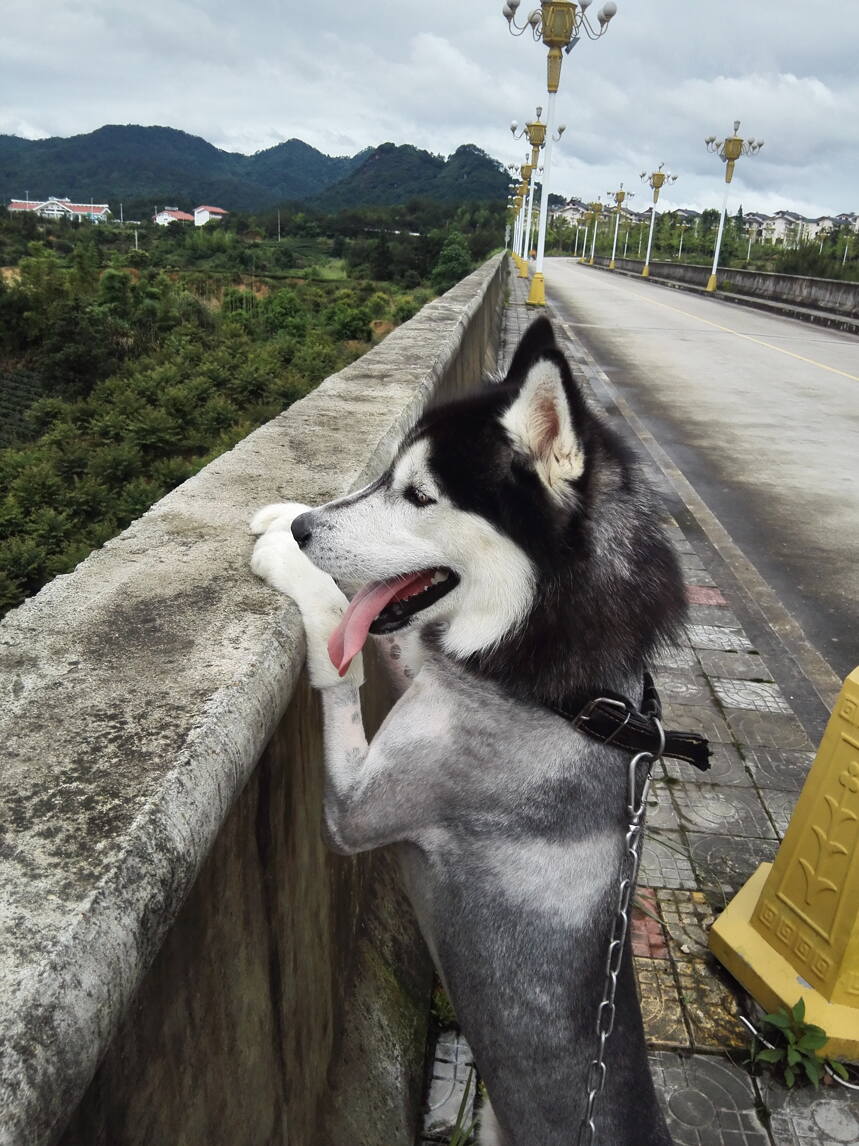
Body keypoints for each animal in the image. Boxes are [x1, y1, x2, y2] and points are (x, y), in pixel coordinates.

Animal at [251, 316, 682, 1146]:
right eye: (388, 477)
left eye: (419, 495)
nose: (306, 526)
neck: (567, 696)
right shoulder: (437, 661)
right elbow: (389, 635)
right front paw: (280, 515)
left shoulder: (358, 805)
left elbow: (339, 644)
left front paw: (286, 556)